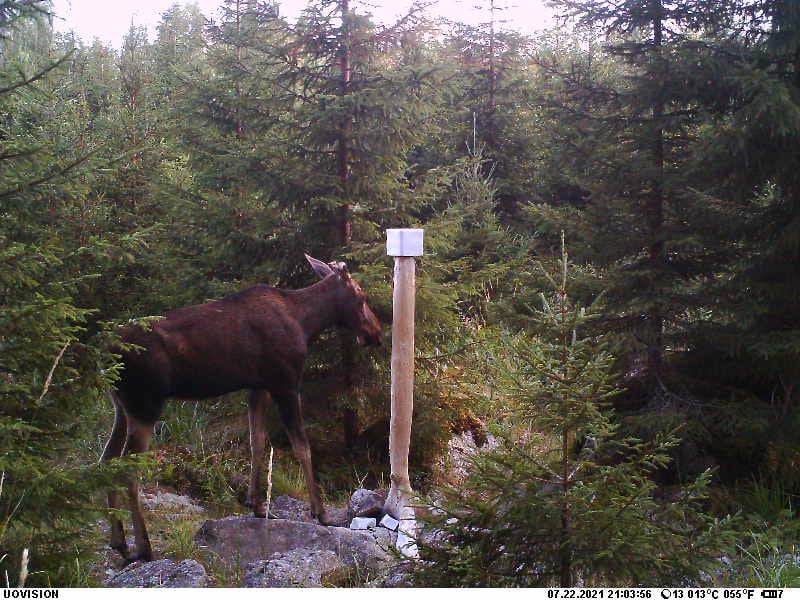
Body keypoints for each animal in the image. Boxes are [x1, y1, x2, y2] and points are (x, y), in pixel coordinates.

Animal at [100, 254, 382, 563]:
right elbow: (302, 447)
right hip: (145, 404)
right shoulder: (285, 383)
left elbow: (256, 440)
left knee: (106, 461)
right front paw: (320, 513)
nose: (376, 332)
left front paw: (256, 505)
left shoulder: (257, 387)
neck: (306, 323)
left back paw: (120, 542)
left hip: (121, 407)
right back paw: (143, 546)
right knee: (127, 470)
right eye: (362, 296)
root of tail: (104, 352)